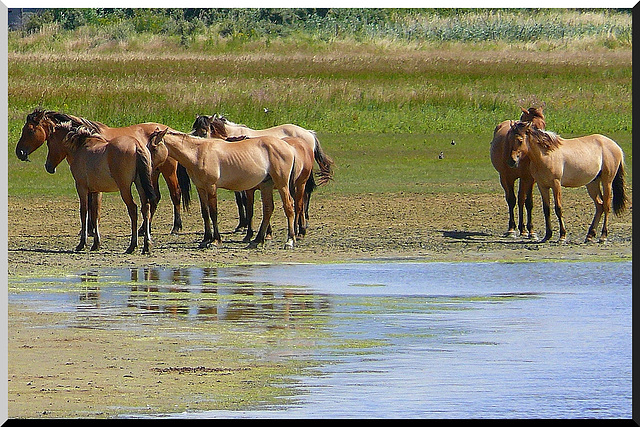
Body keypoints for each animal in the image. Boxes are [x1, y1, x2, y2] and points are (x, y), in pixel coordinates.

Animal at [15, 107, 190, 234]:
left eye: (30, 130)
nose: (19, 152)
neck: (84, 141)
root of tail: (168, 130)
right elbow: (91, 204)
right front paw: (90, 230)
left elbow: (93, 205)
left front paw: (90, 231)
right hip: (152, 173)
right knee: (154, 198)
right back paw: (143, 230)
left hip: (167, 171)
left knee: (175, 194)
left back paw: (175, 227)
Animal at [45, 125, 158, 254]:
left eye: (49, 142)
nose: (48, 166)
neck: (80, 147)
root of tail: (136, 144)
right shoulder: (96, 191)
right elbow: (95, 215)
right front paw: (96, 244)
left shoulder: (81, 188)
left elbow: (84, 212)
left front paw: (82, 244)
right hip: (140, 185)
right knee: (146, 209)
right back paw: (146, 245)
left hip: (124, 188)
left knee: (133, 209)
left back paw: (132, 246)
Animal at [149, 127, 298, 251]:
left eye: (154, 147)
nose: (148, 167)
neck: (197, 153)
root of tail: (289, 147)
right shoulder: (200, 188)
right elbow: (205, 213)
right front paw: (205, 240)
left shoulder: (211, 187)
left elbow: (213, 213)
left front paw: (215, 241)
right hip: (266, 185)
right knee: (268, 209)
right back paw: (256, 241)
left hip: (282, 184)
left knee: (289, 207)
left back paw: (290, 241)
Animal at [490, 105, 544, 239]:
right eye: (532, 126)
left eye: (543, 123)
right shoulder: (508, 178)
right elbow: (511, 200)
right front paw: (511, 230)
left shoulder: (530, 179)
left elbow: (528, 202)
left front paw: (531, 231)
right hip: (504, 179)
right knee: (512, 198)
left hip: (523, 179)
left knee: (521, 199)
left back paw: (523, 229)